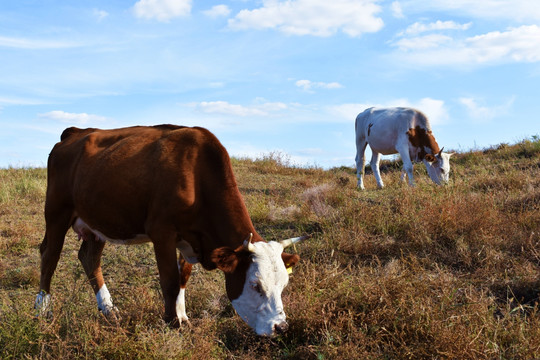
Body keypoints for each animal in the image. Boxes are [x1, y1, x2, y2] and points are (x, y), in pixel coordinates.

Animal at [34, 124, 308, 338]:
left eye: (284, 285)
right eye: (255, 285)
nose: (281, 327)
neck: (196, 173)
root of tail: (76, 132)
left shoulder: (188, 238)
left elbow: (182, 278)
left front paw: (183, 317)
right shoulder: (162, 232)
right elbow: (169, 281)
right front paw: (171, 323)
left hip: (97, 221)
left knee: (90, 258)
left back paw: (109, 310)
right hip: (56, 210)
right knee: (50, 255)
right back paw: (42, 309)